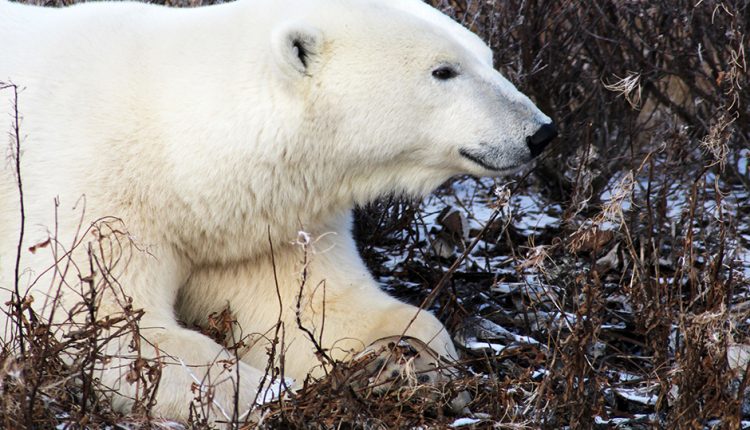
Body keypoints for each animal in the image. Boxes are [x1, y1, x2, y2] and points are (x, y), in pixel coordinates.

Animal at [0, 0, 556, 423]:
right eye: (443, 70)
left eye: (486, 55)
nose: (541, 132)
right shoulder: (94, 198)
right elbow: (104, 329)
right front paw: (270, 395)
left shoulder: (263, 224)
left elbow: (312, 307)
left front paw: (401, 362)